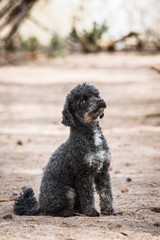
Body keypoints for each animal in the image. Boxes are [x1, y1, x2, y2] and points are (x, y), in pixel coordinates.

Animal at [14, 83, 115, 217]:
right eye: (83, 100)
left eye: (96, 95)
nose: (100, 100)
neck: (91, 134)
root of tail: (40, 206)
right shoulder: (83, 173)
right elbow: (88, 195)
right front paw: (91, 211)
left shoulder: (103, 171)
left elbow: (106, 193)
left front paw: (109, 210)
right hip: (68, 191)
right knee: (52, 211)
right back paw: (68, 212)